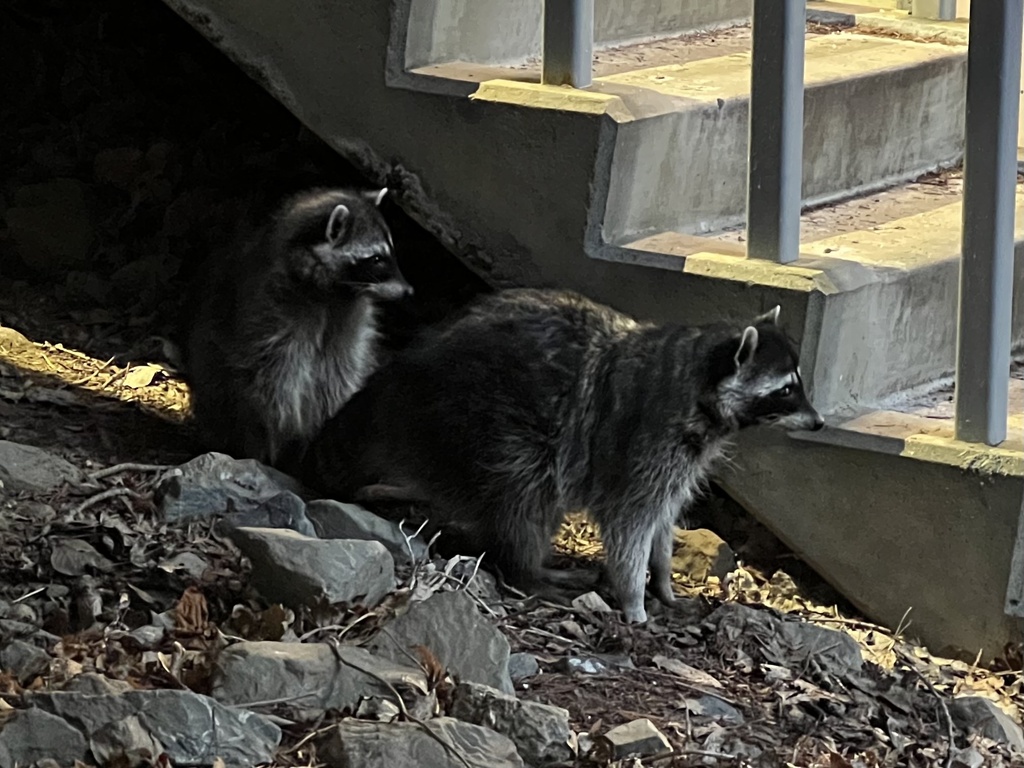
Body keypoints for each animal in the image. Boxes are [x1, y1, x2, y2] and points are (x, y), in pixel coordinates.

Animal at [183, 187, 412, 471]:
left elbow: (338, 376)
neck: (334, 296)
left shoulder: (349, 328)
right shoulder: (272, 322)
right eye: (377, 259)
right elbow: (273, 386)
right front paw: (281, 439)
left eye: (391, 254)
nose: (409, 292)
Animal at [303, 288, 822, 623]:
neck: (700, 388)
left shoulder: (682, 460)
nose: (819, 423)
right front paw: (633, 598)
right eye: (786, 389)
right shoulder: (641, 443)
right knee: (525, 495)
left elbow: (661, 520)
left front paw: (662, 581)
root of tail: (399, 376)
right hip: (484, 421)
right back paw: (528, 569)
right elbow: (629, 523)